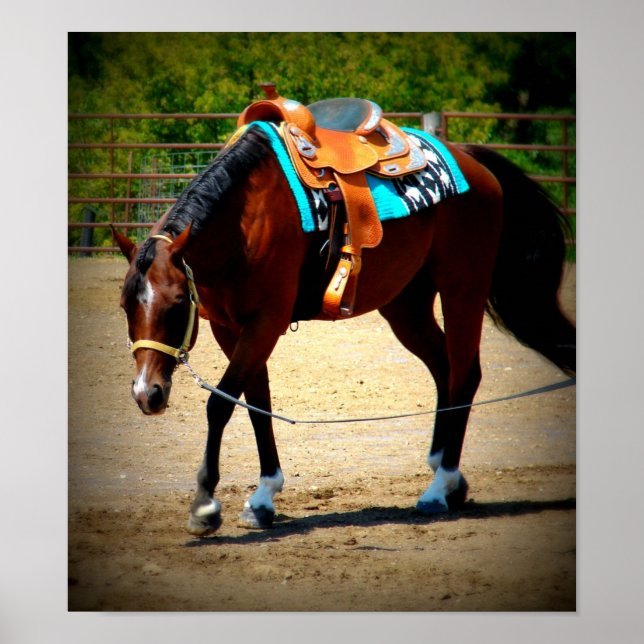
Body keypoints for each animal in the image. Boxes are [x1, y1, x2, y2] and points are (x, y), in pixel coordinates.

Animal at [113, 122, 575, 536]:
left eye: (177, 303)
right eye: (125, 304)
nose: (146, 394)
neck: (246, 218)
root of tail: (472, 161)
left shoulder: (265, 322)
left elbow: (220, 404)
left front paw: (205, 506)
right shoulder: (231, 328)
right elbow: (256, 404)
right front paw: (262, 500)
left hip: (463, 288)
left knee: (464, 375)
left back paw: (438, 488)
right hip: (406, 306)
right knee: (444, 370)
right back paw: (451, 480)